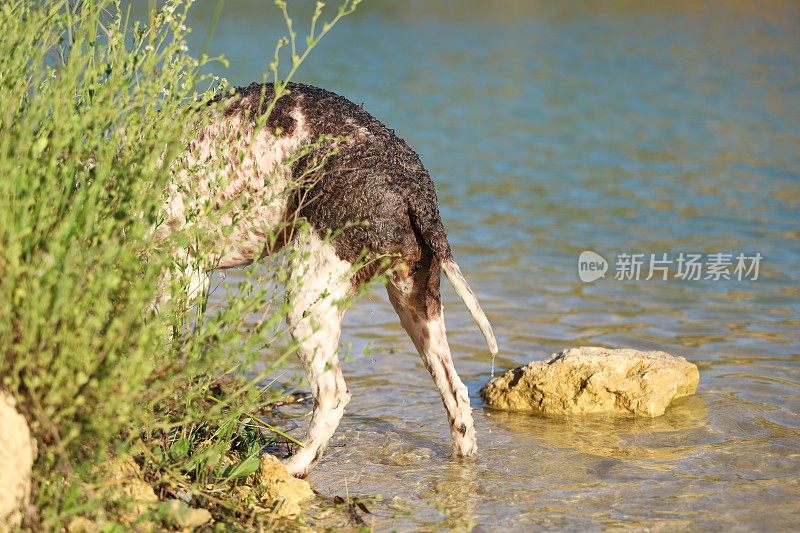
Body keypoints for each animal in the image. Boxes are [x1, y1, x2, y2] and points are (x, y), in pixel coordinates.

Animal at [159, 82, 496, 474]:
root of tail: (415, 190)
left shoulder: (182, 273)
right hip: (415, 302)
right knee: (456, 394)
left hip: (308, 302)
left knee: (333, 394)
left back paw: (295, 464)